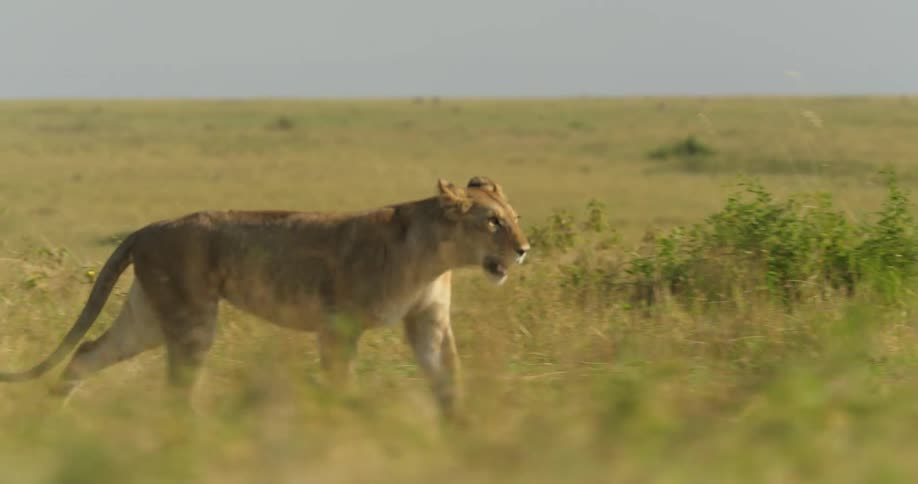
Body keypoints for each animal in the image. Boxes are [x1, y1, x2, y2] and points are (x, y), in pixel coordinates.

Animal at [0, 176, 529, 421]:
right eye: (492, 222)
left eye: (514, 217)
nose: (525, 249)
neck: (434, 255)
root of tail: (149, 227)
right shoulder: (337, 326)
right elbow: (341, 384)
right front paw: (340, 425)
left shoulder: (429, 322)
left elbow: (447, 379)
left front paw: (461, 433)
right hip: (191, 316)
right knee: (176, 387)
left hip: (147, 317)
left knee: (88, 352)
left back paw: (51, 419)